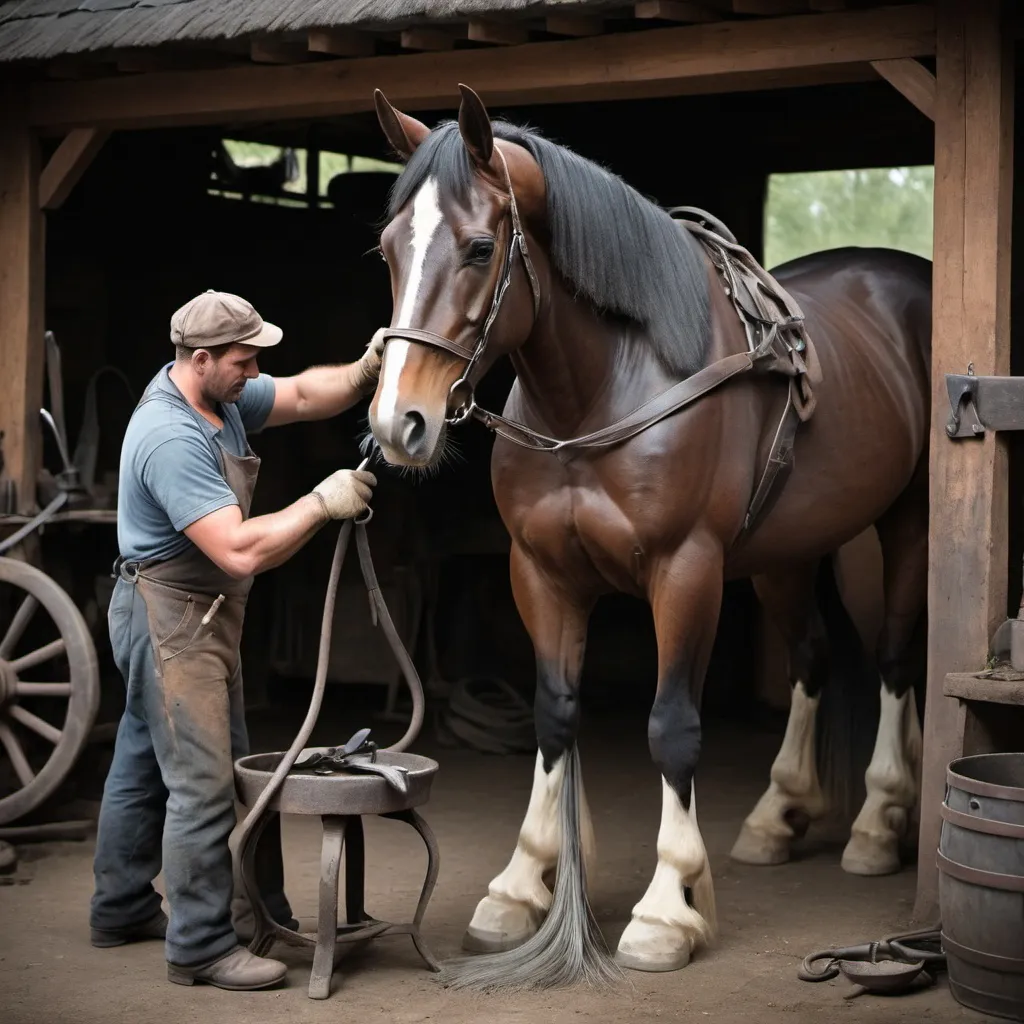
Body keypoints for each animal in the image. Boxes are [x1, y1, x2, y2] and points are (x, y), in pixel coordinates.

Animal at [364, 83, 933, 987]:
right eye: (388, 248)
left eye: (481, 247)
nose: (397, 423)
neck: (602, 389)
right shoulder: (543, 573)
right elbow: (554, 714)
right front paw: (521, 886)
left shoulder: (684, 571)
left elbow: (672, 725)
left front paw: (667, 910)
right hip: (785, 554)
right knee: (811, 660)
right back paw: (778, 814)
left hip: (901, 528)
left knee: (892, 660)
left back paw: (881, 820)